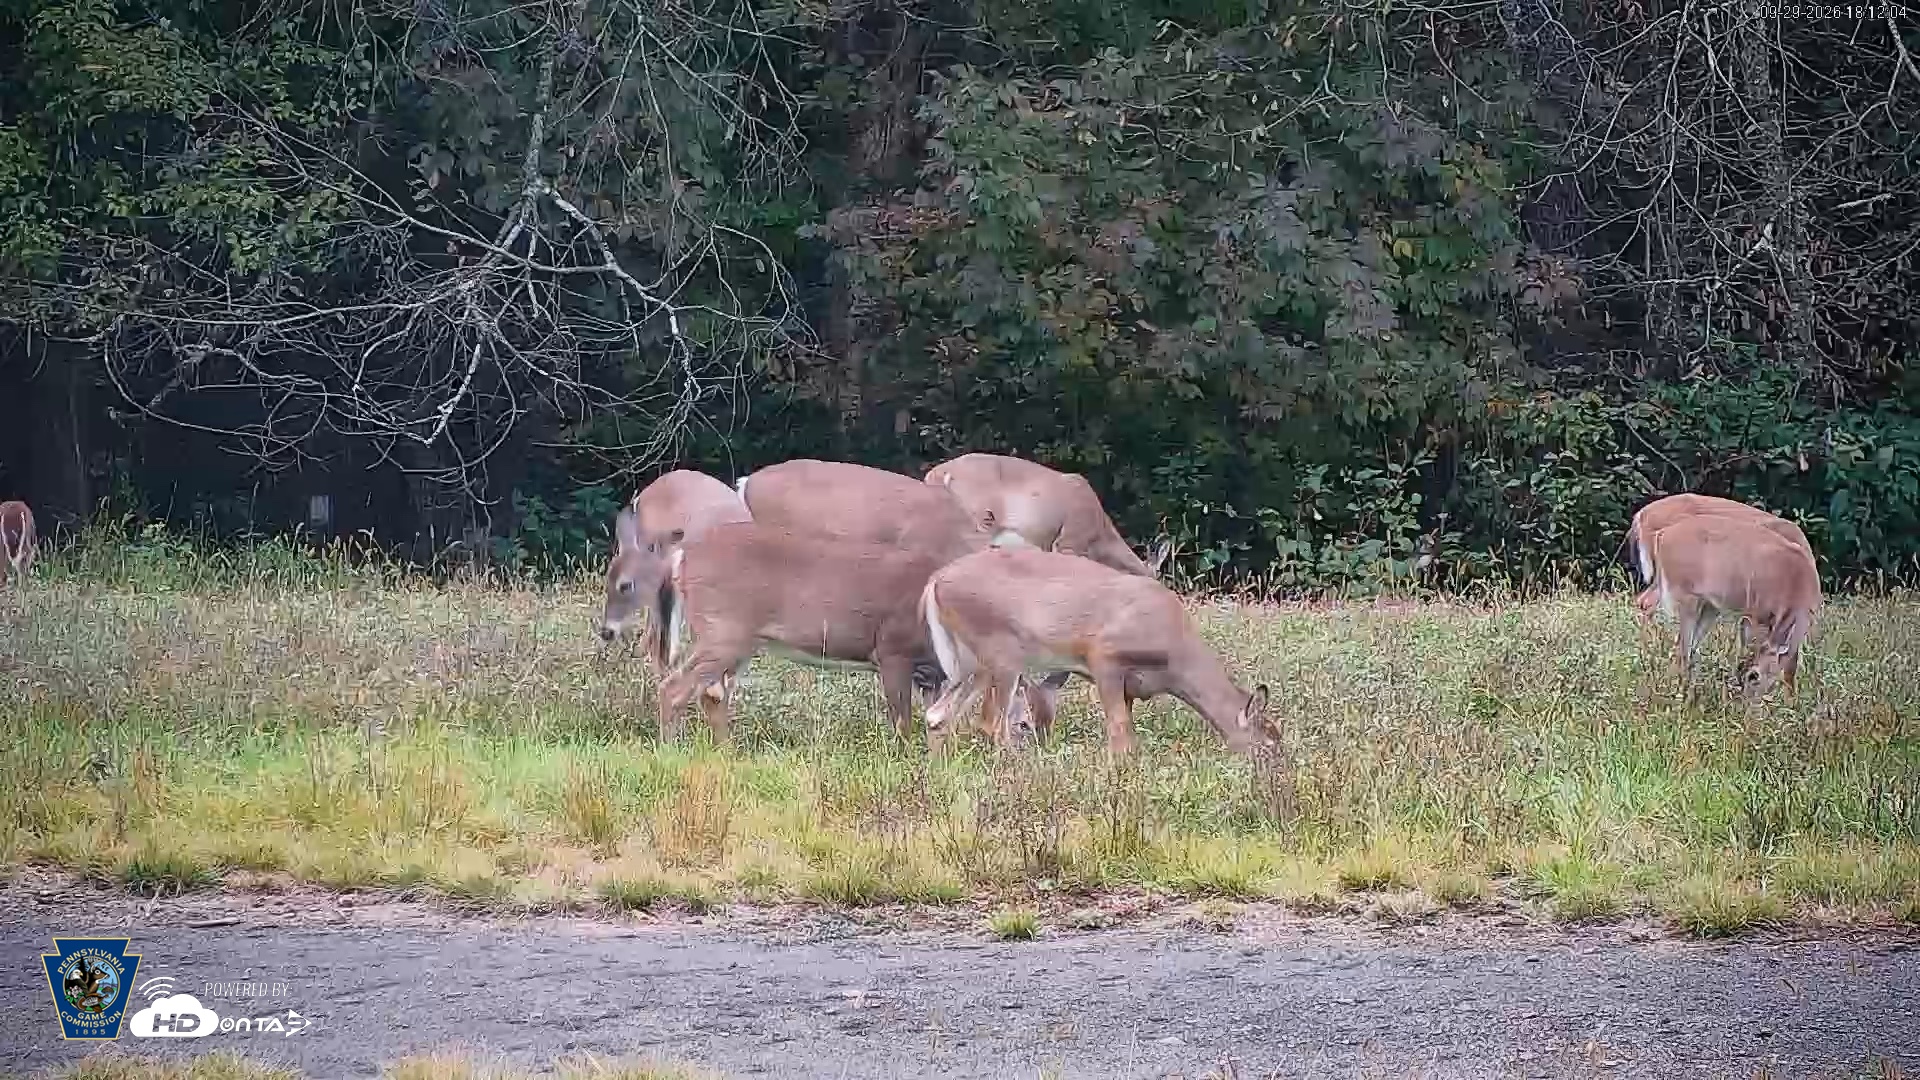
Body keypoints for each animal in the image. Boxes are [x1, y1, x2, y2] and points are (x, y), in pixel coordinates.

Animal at [650, 520, 954, 743]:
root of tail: (681, 556)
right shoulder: (892, 650)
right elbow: (903, 723)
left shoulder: (931, 673)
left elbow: (937, 724)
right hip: (723, 629)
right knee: (674, 688)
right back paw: (669, 750)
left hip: (735, 639)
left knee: (711, 694)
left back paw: (725, 750)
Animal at [920, 545, 1277, 758]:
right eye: (1270, 741)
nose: (1278, 773)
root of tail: (935, 581)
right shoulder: (1104, 655)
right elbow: (1119, 733)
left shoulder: (1130, 687)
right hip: (1002, 652)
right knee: (991, 723)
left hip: (972, 662)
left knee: (938, 715)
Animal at [1646, 513, 1822, 699]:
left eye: (1754, 676)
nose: (1746, 701)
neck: (1797, 583)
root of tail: (1661, 534)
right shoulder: (1754, 613)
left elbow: (1791, 666)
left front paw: (1791, 700)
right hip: (1685, 594)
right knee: (1682, 648)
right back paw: (1681, 692)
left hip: (1709, 605)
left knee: (1689, 647)